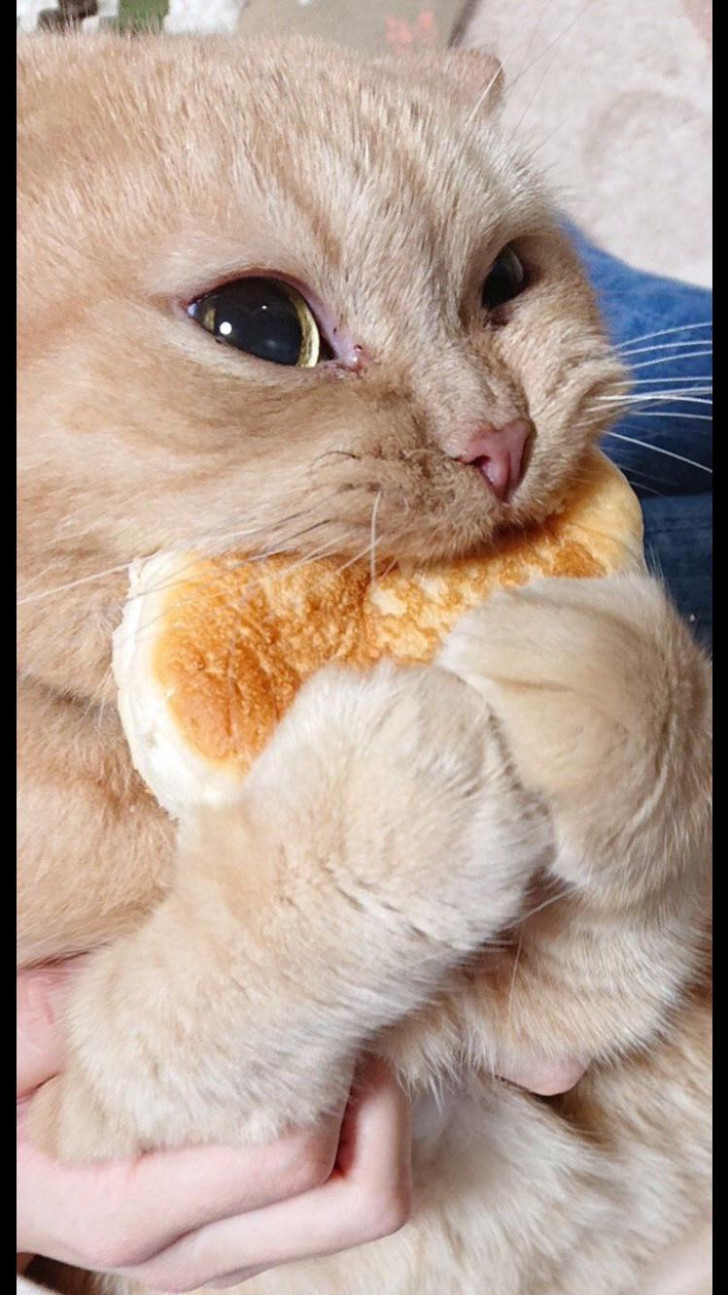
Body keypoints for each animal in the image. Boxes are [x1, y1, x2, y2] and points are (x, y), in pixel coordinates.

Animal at [17, 30, 709, 1295]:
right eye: (255, 325)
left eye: (504, 281)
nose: (500, 441)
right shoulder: (94, 1122)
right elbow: (204, 981)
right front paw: (390, 786)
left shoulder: (559, 1027)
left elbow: (642, 848)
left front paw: (603, 666)